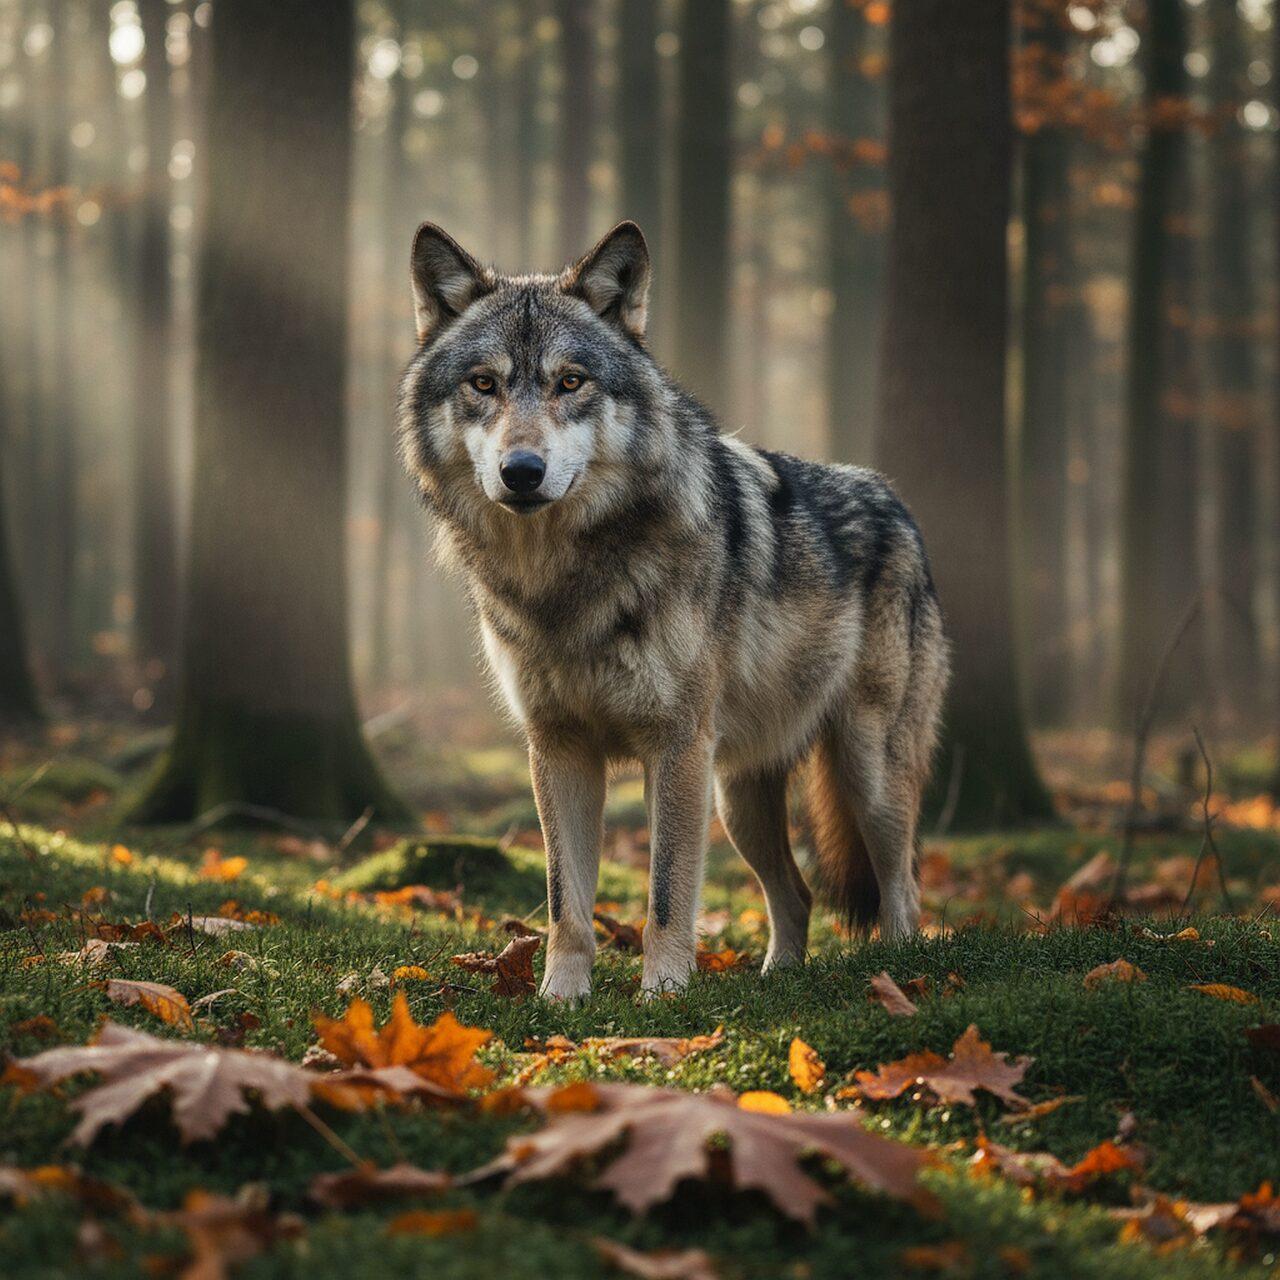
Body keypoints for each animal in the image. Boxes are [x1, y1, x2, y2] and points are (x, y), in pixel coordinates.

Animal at [398, 220, 948, 998]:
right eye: (484, 384)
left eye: (571, 382)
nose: (522, 472)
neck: (564, 582)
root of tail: (896, 502)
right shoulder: (558, 749)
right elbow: (566, 901)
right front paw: (559, 999)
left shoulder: (677, 745)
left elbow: (666, 893)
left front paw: (662, 995)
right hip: (738, 797)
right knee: (797, 894)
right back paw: (774, 980)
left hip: (863, 771)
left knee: (902, 882)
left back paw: (902, 975)